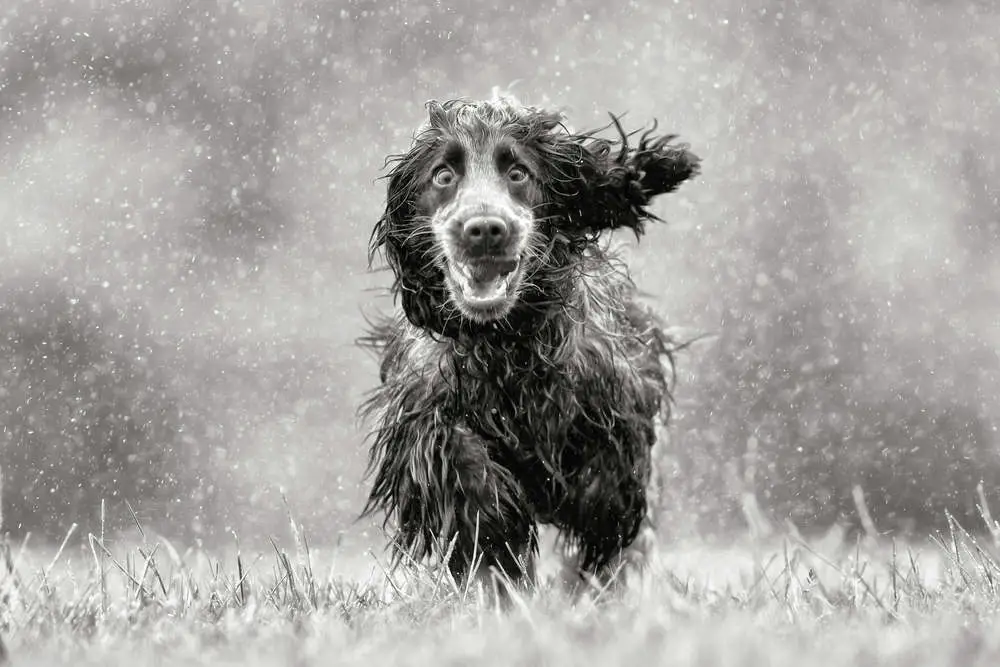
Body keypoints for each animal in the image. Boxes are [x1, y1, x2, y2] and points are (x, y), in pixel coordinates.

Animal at [358, 94, 696, 596]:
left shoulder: (617, 387)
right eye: (443, 175)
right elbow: (455, 456)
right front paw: (496, 526)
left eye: (518, 173)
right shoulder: (418, 406)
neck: (505, 340)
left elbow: (609, 486)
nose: (484, 229)